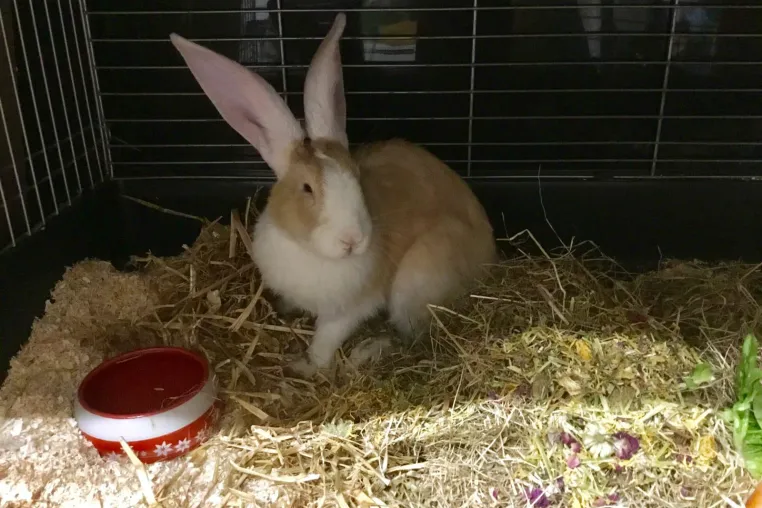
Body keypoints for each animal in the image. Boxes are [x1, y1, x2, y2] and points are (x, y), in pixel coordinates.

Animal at [169, 13, 497, 378]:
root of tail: (491, 258)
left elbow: (325, 340)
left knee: (413, 336)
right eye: (307, 188)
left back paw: (369, 351)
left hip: (416, 280)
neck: (314, 255)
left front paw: (305, 366)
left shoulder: (349, 310)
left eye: (356, 177)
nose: (352, 240)